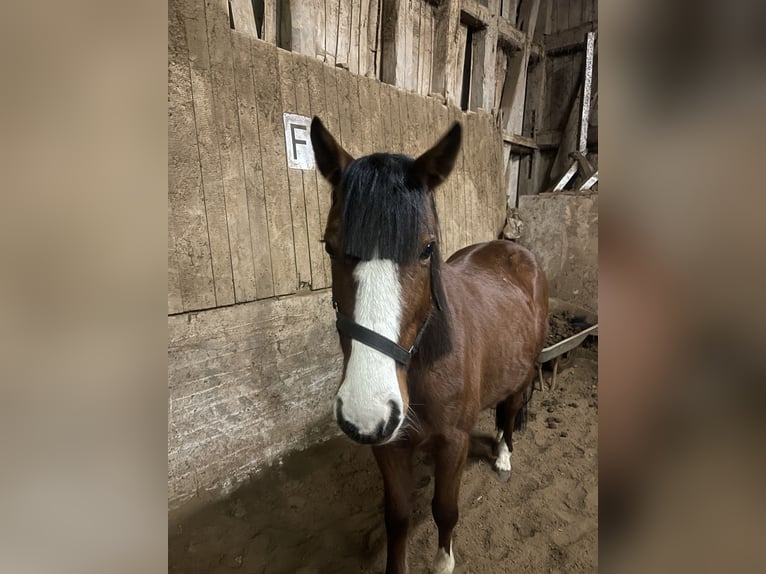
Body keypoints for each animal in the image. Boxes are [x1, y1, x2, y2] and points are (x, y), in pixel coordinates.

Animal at [310, 117, 548, 574]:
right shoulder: (389, 447)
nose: (365, 411)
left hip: (524, 372)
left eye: (427, 248)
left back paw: (503, 456)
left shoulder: (453, 443)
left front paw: (443, 563)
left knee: (510, 411)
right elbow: (398, 516)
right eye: (329, 245)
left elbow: (445, 510)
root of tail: (512, 249)